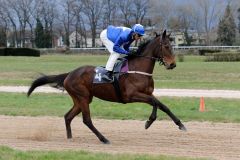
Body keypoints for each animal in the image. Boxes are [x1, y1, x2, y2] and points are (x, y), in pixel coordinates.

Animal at [27, 30, 186, 144]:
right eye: (166, 46)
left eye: (172, 45)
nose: (172, 64)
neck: (138, 69)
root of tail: (69, 74)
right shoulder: (131, 95)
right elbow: (154, 103)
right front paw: (149, 122)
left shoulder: (148, 93)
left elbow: (162, 105)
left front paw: (180, 124)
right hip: (83, 97)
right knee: (87, 120)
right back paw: (104, 139)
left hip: (82, 99)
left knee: (68, 116)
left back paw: (70, 138)